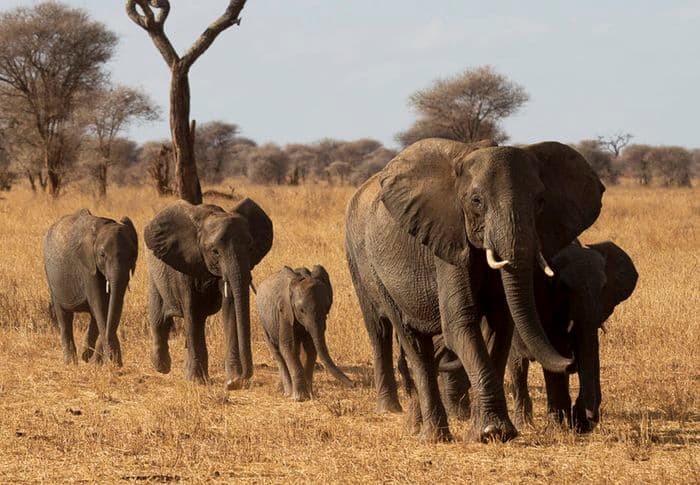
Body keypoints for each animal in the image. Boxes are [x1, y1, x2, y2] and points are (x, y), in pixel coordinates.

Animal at [43, 209, 138, 366]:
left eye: (133, 254)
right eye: (102, 255)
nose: (116, 362)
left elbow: (108, 307)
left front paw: (95, 360)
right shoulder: (87, 266)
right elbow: (99, 305)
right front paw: (112, 363)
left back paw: (85, 356)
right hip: (51, 278)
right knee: (64, 316)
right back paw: (71, 362)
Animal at [143, 198, 273, 390]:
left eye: (250, 247)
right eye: (215, 252)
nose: (242, 378)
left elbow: (230, 309)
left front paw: (232, 380)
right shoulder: (185, 263)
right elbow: (191, 312)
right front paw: (197, 381)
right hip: (154, 273)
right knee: (159, 316)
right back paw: (162, 367)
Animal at [256, 265, 353, 401]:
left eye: (326, 307)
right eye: (301, 310)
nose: (353, 384)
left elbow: (311, 348)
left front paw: (310, 394)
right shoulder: (285, 312)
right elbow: (288, 347)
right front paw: (300, 398)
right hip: (264, 321)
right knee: (278, 353)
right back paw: (287, 392)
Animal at [345, 138, 604, 442]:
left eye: (540, 202)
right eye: (476, 201)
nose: (570, 361)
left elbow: (500, 327)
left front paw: (495, 432)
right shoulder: (449, 240)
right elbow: (461, 324)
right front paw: (492, 432)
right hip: (369, 266)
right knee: (401, 337)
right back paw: (431, 435)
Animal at [508, 241, 638, 432]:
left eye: (603, 287)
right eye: (564, 287)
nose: (591, 418)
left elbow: (590, 351)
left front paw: (578, 422)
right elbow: (556, 353)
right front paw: (558, 427)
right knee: (518, 366)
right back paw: (524, 423)